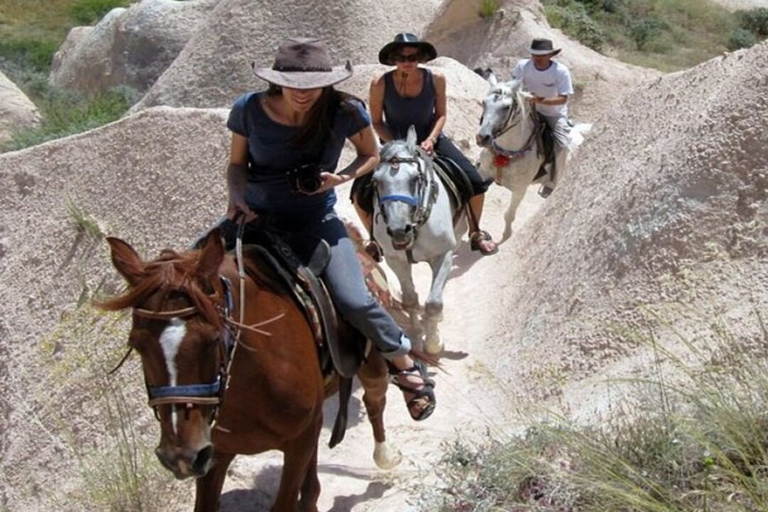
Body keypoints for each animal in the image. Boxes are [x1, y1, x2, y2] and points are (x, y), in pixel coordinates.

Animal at [98, 231, 400, 512]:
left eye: (212, 339)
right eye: (137, 345)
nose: (180, 456)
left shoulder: (297, 441)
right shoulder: (215, 454)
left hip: (370, 359)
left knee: (375, 398)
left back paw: (385, 454)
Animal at [370, 126, 464, 354]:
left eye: (415, 178)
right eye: (376, 181)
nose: (398, 230)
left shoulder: (443, 255)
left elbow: (433, 304)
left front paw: (434, 344)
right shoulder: (395, 259)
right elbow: (410, 299)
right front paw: (416, 333)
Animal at [476, 73, 592, 241]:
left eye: (506, 107)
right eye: (484, 102)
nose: (482, 138)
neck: (507, 152)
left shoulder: (519, 190)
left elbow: (509, 216)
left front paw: (504, 237)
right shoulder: (483, 174)